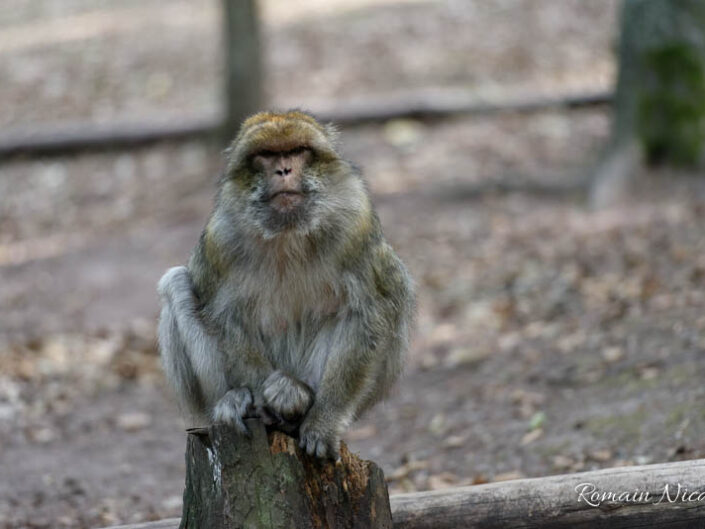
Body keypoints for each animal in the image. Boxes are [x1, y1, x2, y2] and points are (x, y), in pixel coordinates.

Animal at [157, 109, 416, 456]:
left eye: (298, 150)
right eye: (266, 155)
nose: (283, 170)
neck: (287, 234)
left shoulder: (355, 225)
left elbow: (370, 311)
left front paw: (323, 421)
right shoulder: (219, 240)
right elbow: (226, 316)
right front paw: (257, 399)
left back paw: (297, 396)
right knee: (176, 284)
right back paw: (234, 400)